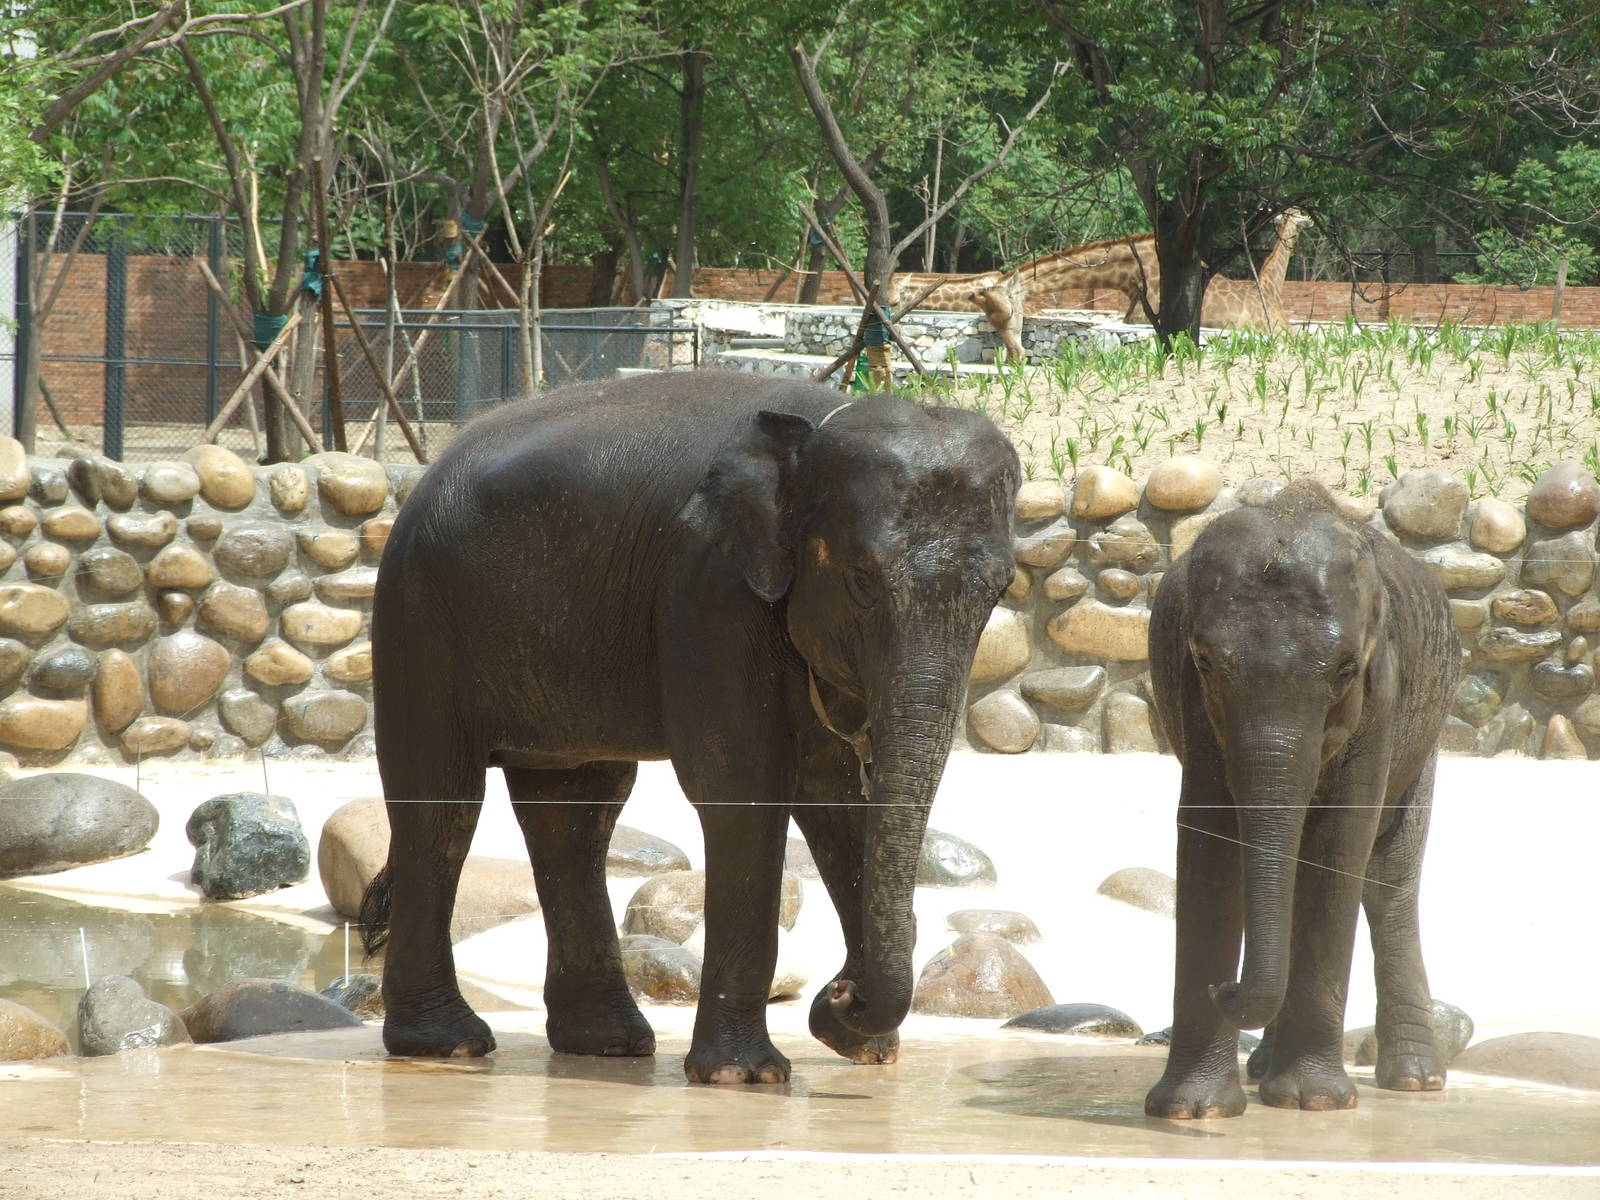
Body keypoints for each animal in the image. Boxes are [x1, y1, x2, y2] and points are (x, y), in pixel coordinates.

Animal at [359, 369, 1019, 1085]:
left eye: (1000, 589)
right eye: (862, 579)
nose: (839, 993)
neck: (813, 427)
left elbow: (836, 796)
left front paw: (863, 1050)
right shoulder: (707, 589)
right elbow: (743, 787)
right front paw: (745, 1076)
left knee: (575, 813)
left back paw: (607, 1044)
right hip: (415, 616)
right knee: (443, 804)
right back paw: (447, 1045)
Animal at [1144, 479, 1458, 1118]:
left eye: (1346, 670)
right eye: (1206, 662)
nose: (1224, 988)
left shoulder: (1383, 691)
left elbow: (1340, 843)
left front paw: (1313, 1101)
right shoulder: (1193, 697)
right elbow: (1210, 838)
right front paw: (1192, 1109)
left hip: (1427, 733)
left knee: (1389, 877)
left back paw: (1415, 1080)